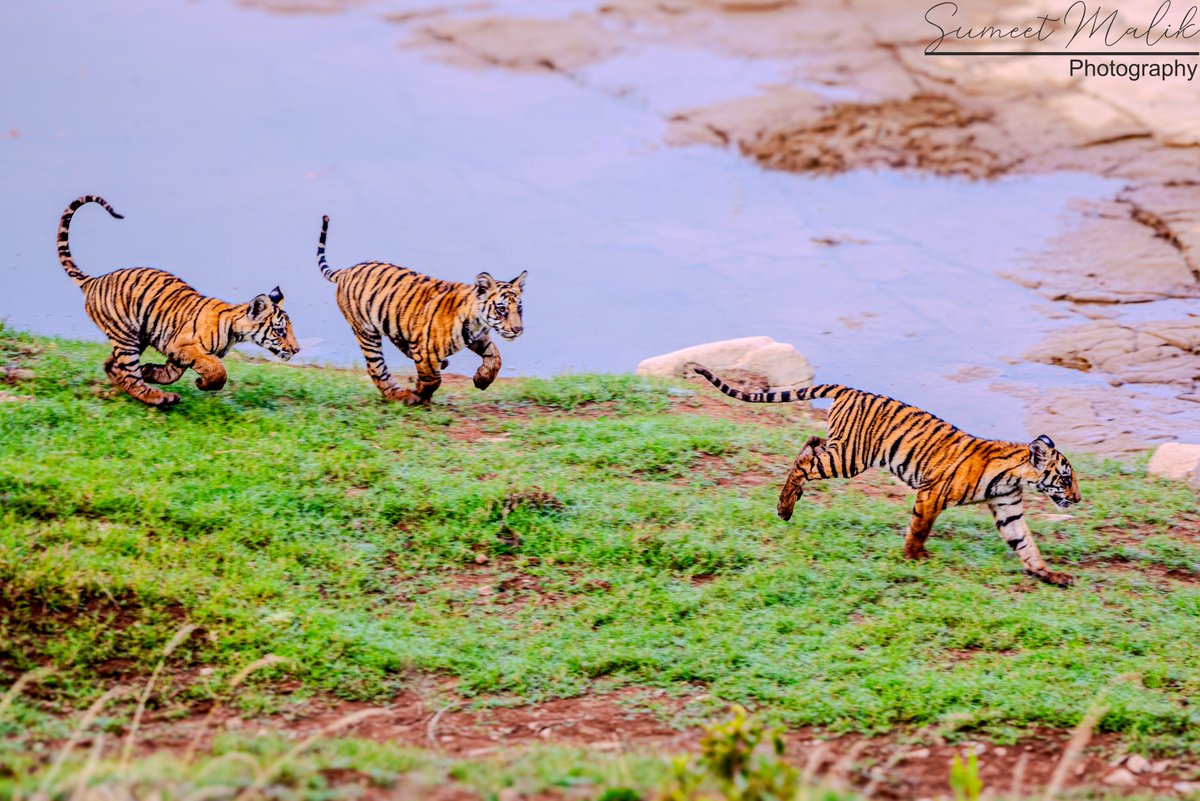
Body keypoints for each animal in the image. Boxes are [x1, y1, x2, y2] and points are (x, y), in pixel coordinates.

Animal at [58, 195, 300, 407]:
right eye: (280, 331)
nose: (297, 350)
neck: (235, 331)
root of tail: (94, 280)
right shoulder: (184, 345)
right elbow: (217, 369)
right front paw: (202, 382)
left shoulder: (178, 353)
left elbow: (170, 374)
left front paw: (150, 371)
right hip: (126, 337)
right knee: (130, 377)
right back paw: (161, 399)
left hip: (137, 335)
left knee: (114, 366)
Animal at [317, 214, 526, 406]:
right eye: (501, 309)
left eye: (519, 308)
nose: (518, 330)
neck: (477, 322)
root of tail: (346, 270)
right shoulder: (426, 349)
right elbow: (433, 378)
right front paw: (418, 394)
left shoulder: (477, 338)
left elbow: (495, 357)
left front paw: (482, 379)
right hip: (366, 332)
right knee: (376, 368)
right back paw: (399, 395)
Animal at [687, 364, 1081, 587]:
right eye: (1065, 479)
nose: (1077, 498)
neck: (1015, 477)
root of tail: (849, 389)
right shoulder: (932, 493)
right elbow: (920, 527)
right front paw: (914, 557)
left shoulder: (1007, 507)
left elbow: (1025, 543)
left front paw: (1049, 575)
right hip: (848, 458)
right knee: (805, 462)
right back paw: (784, 508)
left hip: (840, 448)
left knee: (810, 443)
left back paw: (790, 501)